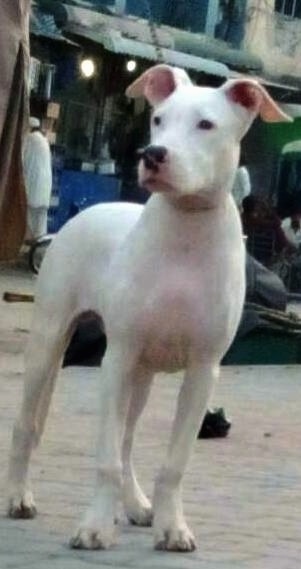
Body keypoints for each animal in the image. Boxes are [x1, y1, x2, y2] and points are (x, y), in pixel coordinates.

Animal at [6, 65, 288, 552]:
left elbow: (173, 463)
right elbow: (105, 459)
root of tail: (87, 211)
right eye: (158, 120)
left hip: (143, 373)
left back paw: (137, 505)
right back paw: (20, 497)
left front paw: (172, 526)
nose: (153, 154)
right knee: (29, 423)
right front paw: (94, 527)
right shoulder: (116, 359)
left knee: (128, 438)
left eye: (206, 124)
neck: (186, 227)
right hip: (50, 341)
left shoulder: (203, 371)